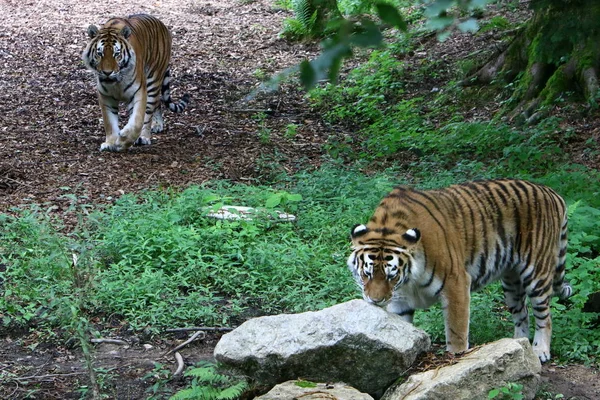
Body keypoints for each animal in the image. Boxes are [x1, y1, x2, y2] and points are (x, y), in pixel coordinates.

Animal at [82, 14, 189, 152]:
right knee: (158, 103)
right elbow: (109, 122)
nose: (107, 72)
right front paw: (110, 143)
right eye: (99, 53)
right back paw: (157, 124)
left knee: (149, 111)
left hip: (153, 81)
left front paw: (123, 141)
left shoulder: (138, 92)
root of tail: (162, 25)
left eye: (116, 54)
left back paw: (143, 137)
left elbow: (137, 121)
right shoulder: (105, 96)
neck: (117, 82)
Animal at [346, 178, 572, 362]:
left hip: (536, 274)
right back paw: (519, 345)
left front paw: (457, 358)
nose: (376, 301)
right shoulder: (399, 302)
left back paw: (540, 351)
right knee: (522, 313)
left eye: (391, 275)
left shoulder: (456, 284)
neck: (408, 279)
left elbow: (456, 332)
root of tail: (552, 192)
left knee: (545, 317)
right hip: (511, 282)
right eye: (367, 274)